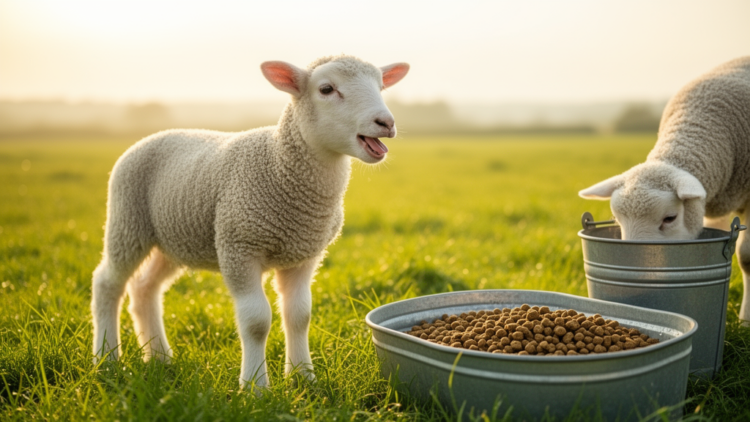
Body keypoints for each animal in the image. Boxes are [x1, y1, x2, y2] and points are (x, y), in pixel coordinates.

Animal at [91, 55, 410, 389]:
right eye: (326, 89)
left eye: (381, 86)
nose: (386, 123)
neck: (279, 165)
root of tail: (151, 136)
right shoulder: (239, 245)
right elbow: (256, 321)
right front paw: (255, 387)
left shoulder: (304, 254)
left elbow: (299, 315)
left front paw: (302, 377)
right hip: (127, 221)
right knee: (107, 283)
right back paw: (106, 359)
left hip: (172, 240)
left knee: (144, 288)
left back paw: (160, 357)